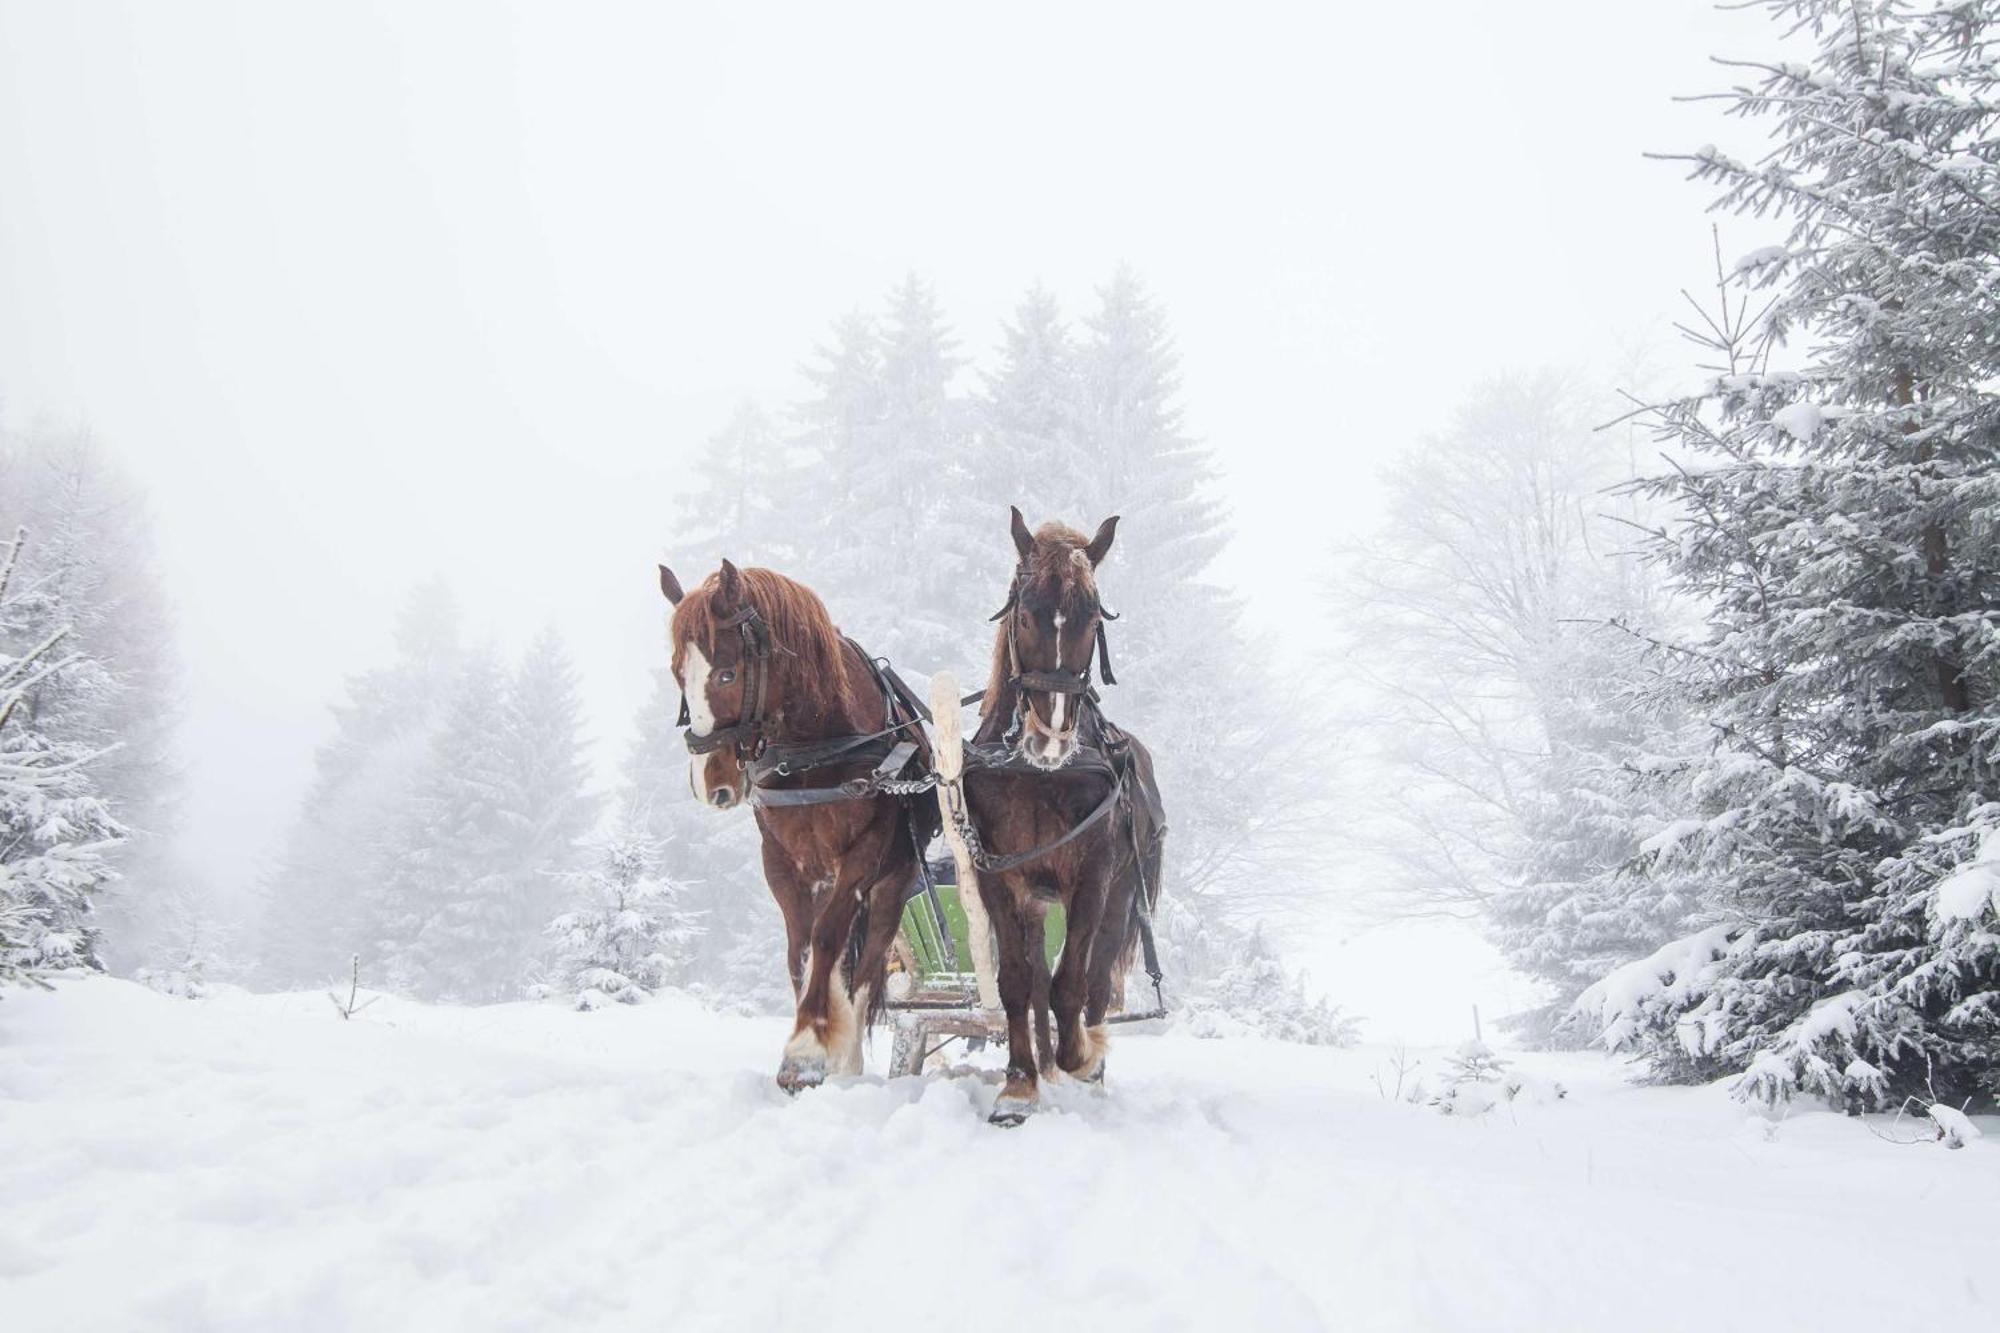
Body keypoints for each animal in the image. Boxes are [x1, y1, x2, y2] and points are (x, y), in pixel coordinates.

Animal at [656, 556, 936, 1088]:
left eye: (728, 674)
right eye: (679, 672)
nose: (708, 782)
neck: (817, 748)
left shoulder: (863, 856)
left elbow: (827, 940)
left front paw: (806, 1051)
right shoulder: (783, 861)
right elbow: (801, 951)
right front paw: (810, 1036)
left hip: (892, 885)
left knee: (867, 965)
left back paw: (847, 1060)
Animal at [960, 508, 1168, 1120]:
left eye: (1091, 618)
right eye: (1025, 614)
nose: (1050, 738)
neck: (1036, 774)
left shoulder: (1093, 874)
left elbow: (1071, 983)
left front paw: (1081, 1055)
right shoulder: (999, 877)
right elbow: (1015, 984)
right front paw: (1019, 1085)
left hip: (1124, 893)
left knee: (1096, 981)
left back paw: (1086, 1062)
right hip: (1035, 901)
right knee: (1033, 982)